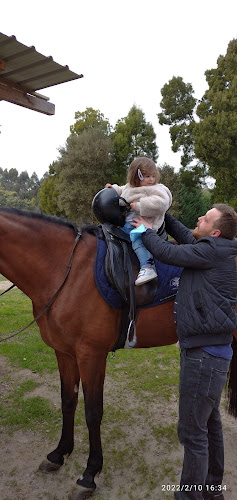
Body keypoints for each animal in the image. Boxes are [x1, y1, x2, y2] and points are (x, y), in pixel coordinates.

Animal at [0, 206, 236, 496]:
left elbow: (93, 413)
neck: (64, 270)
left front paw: (89, 474)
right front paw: (59, 454)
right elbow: (68, 401)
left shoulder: (91, 355)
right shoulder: (65, 353)